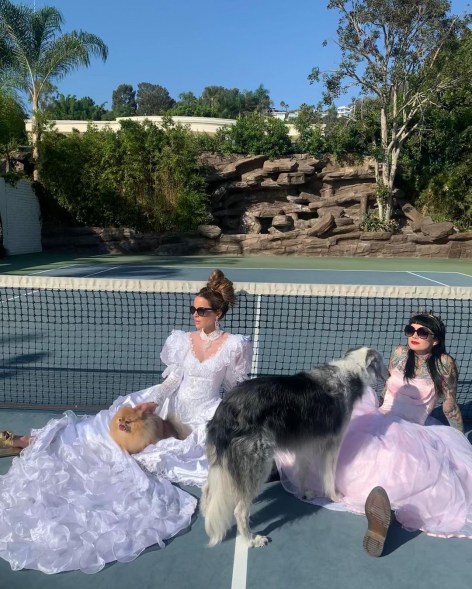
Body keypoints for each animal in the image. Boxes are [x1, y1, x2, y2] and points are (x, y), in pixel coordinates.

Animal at [201, 344, 390, 548]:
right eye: (381, 361)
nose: (389, 374)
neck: (351, 371)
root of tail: (224, 412)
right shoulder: (332, 445)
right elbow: (329, 476)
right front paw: (335, 497)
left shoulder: (304, 445)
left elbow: (303, 472)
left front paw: (305, 493)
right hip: (259, 465)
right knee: (240, 511)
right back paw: (252, 539)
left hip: (221, 467)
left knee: (207, 490)